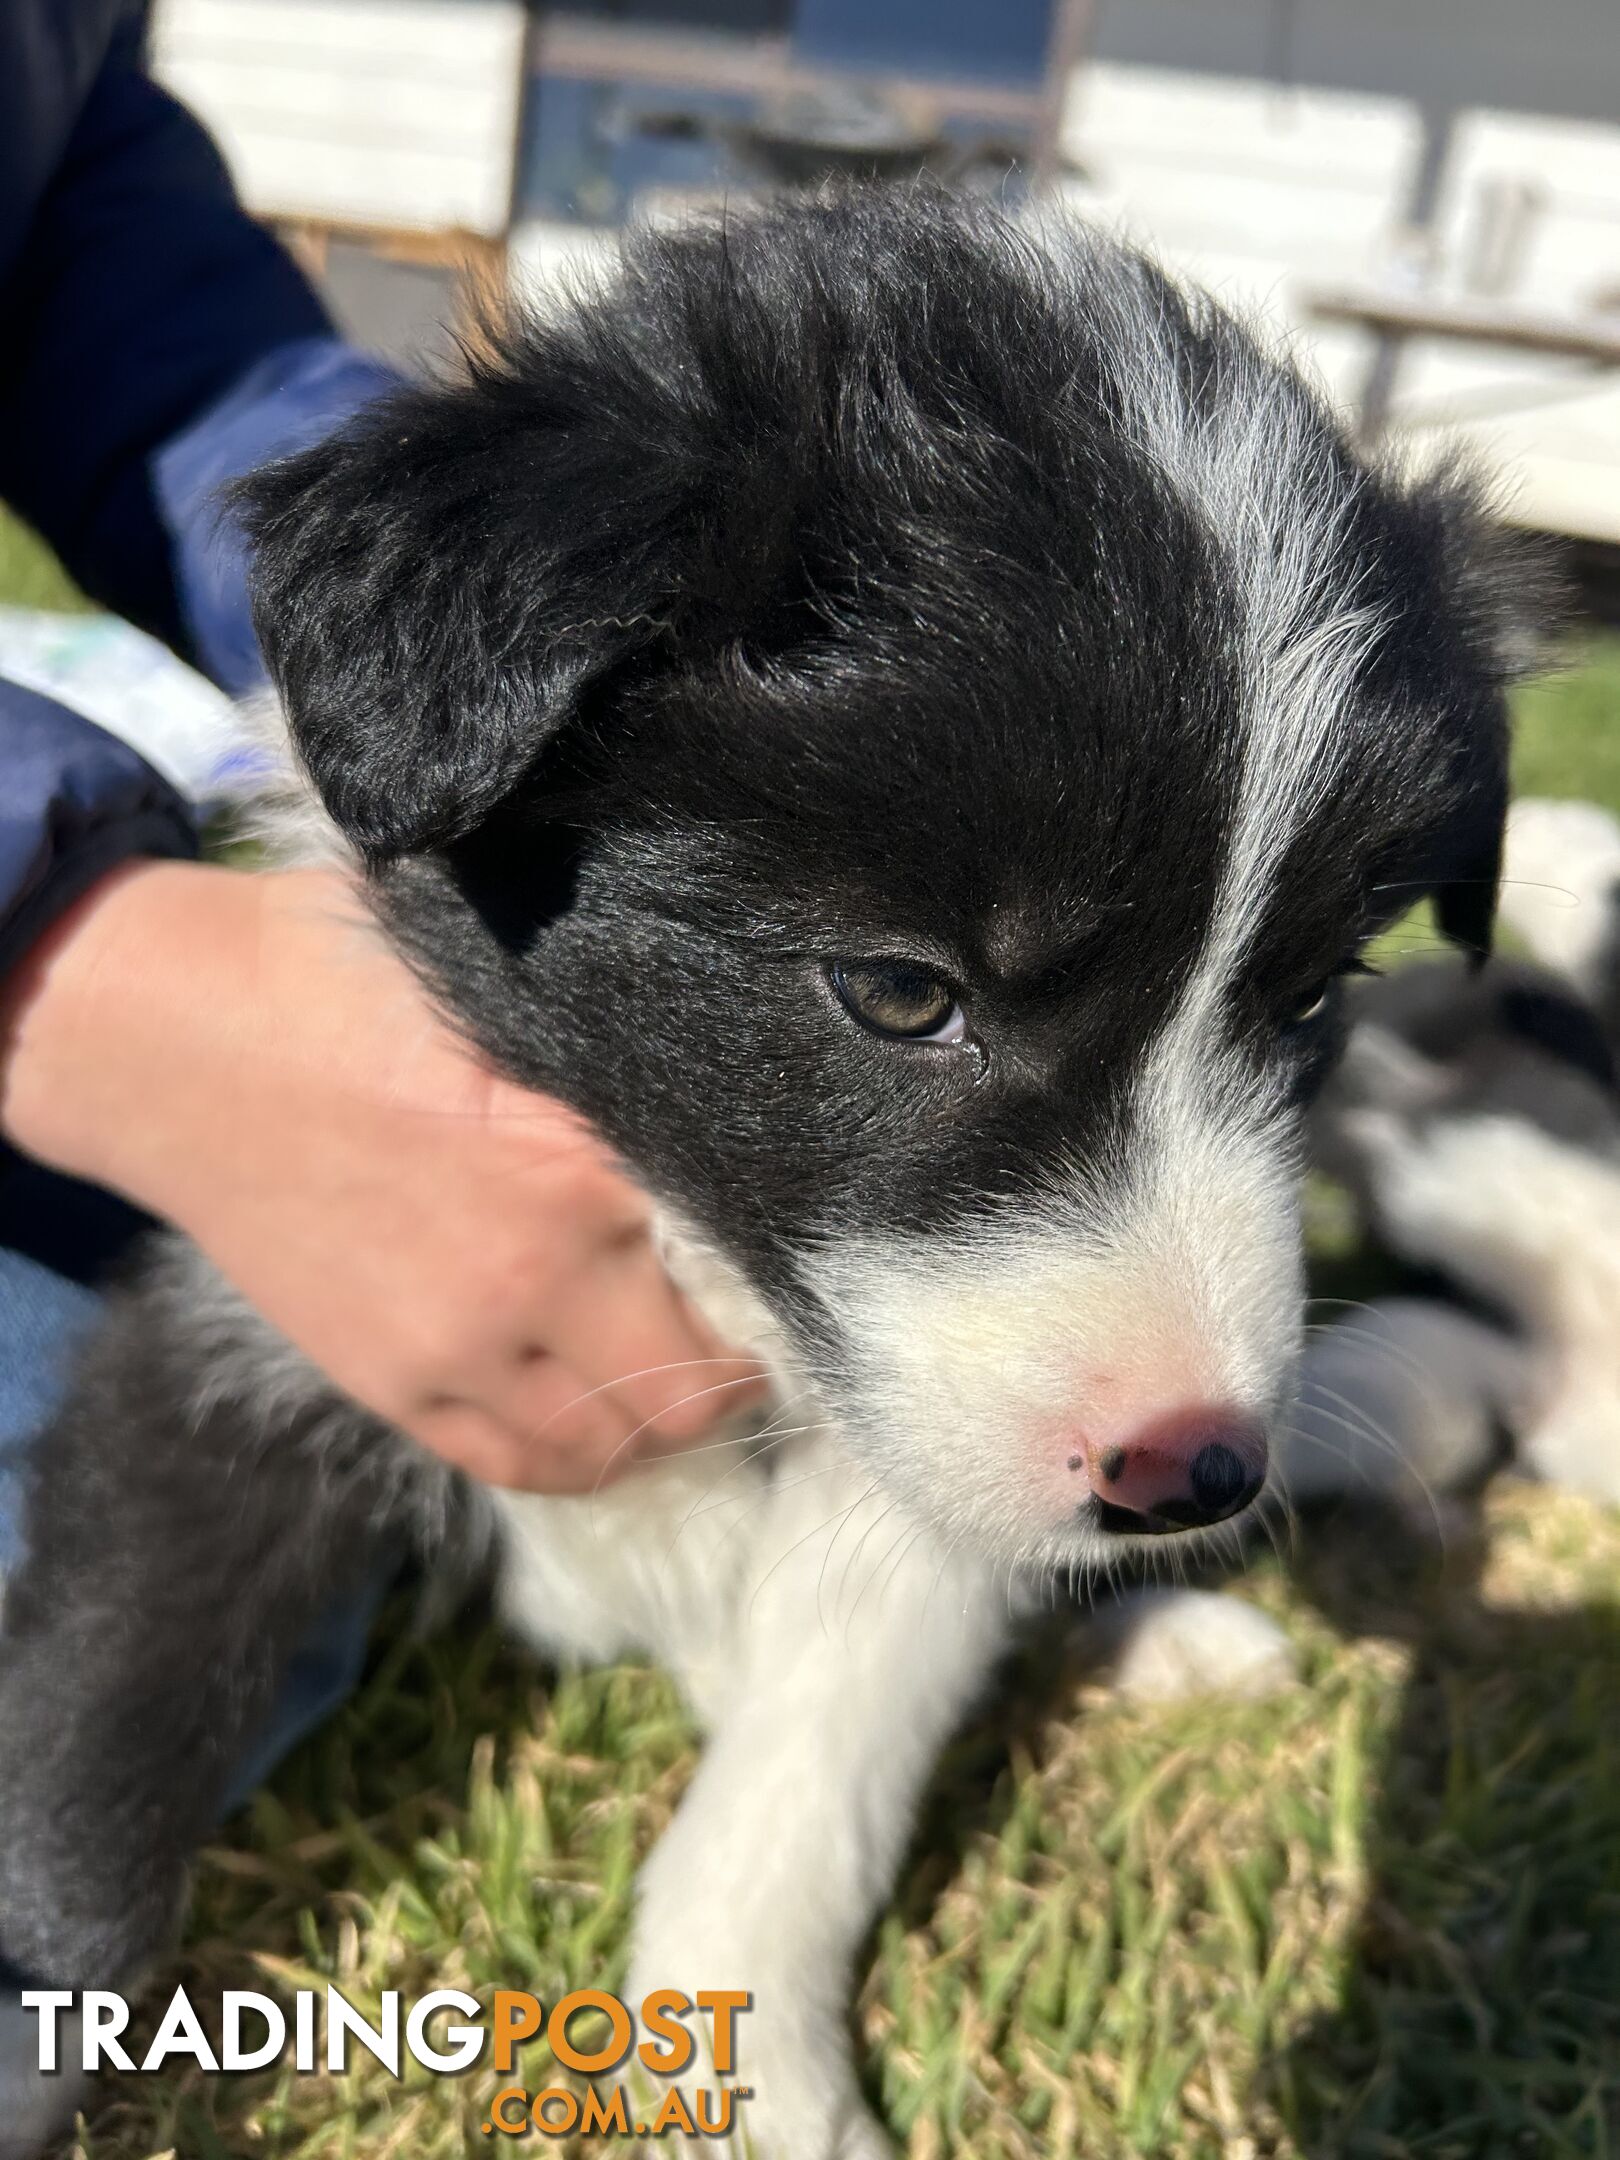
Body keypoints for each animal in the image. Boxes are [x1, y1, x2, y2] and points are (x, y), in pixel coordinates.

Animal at [0, 190, 1537, 2160]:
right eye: (900, 992)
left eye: (1314, 997)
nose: (1199, 1474)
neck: (698, 1261)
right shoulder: (244, 1322)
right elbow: (98, 1740)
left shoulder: (910, 1463)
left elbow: (808, 1787)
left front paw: (760, 2090)